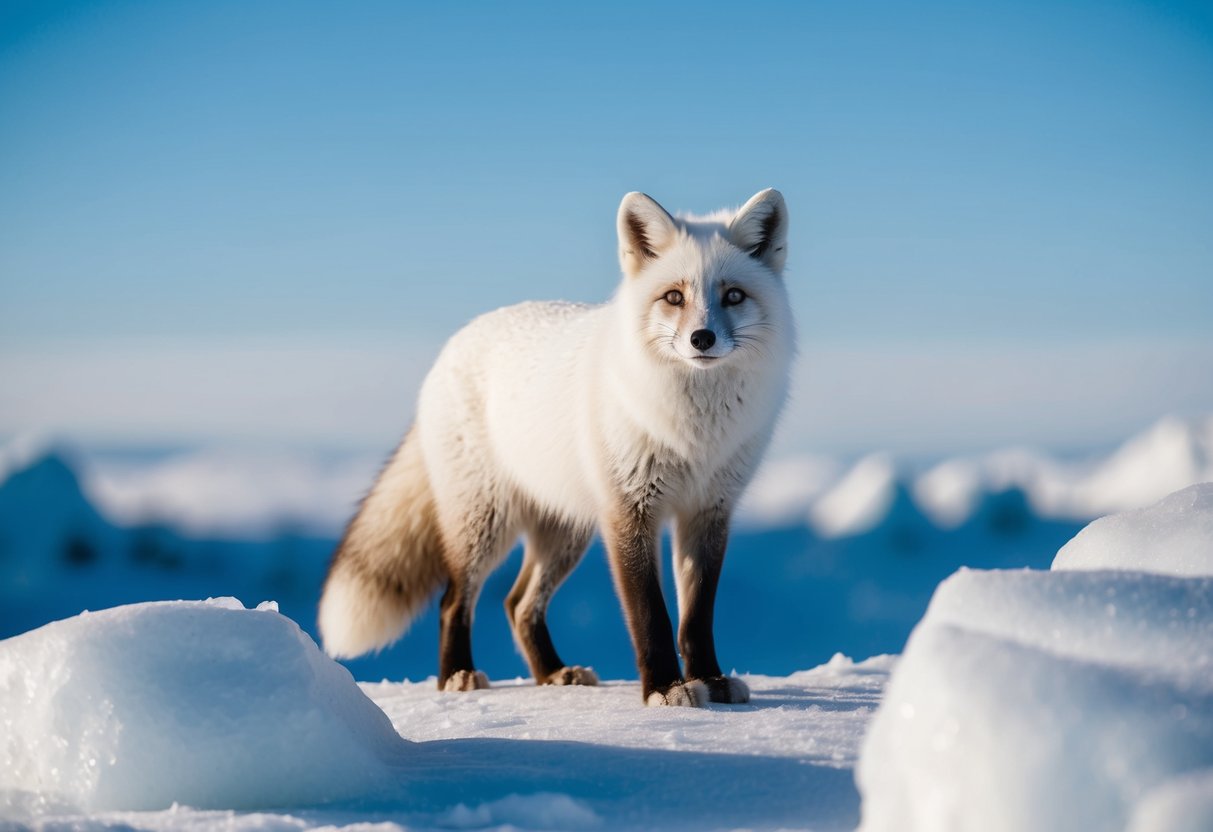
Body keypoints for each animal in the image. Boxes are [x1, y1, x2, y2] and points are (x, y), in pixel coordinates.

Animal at [318, 188, 795, 706]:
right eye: (674, 297)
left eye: (733, 296)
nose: (701, 339)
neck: (694, 432)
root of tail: (457, 341)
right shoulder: (630, 511)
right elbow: (651, 615)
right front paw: (665, 689)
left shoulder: (708, 512)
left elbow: (697, 618)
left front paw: (709, 679)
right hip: (485, 523)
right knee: (453, 601)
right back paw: (457, 676)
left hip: (565, 532)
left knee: (518, 603)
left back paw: (551, 672)